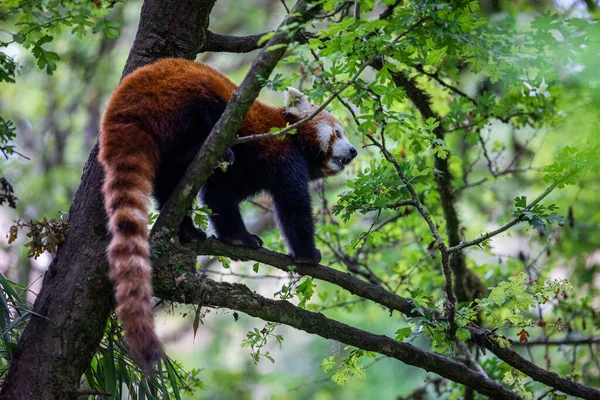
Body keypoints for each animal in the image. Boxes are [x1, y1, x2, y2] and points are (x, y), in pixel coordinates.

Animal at [98, 57, 356, 370]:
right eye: (337, 133)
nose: (353, 151)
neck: (293, 136)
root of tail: (121, 103)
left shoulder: (247, 172)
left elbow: (220, 196)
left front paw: (236, 237)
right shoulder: (281, 152)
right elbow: (293, 204)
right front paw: (306, 253)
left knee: (170, 184)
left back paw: (187, 230)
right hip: (183, 98)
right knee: (209, 116)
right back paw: (205, 151)